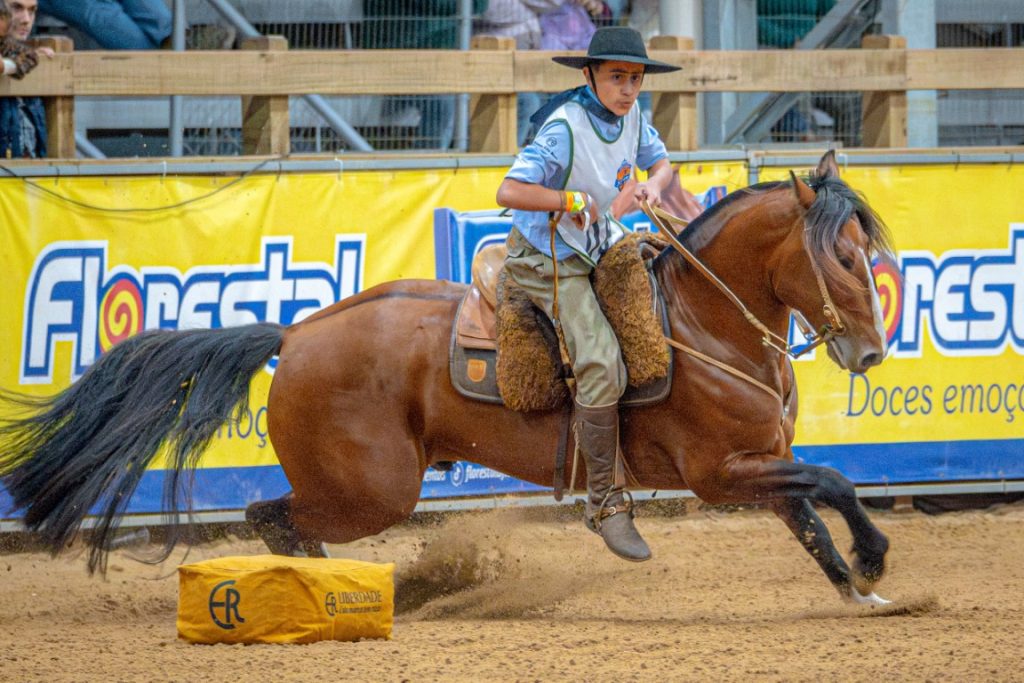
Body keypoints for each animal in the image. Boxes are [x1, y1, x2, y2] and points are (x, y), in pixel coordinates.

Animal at [0, 153, 897, 602]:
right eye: (840, 257)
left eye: (868, 253)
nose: (869, 350)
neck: (701, 322)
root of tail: (297, 330)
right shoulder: (721, 472)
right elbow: (832, 482)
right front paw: (877, 557)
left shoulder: (759, 463)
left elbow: (810, 516)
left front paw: (859, 588)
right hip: (373, 490)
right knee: (268, 513)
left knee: (278, 519)